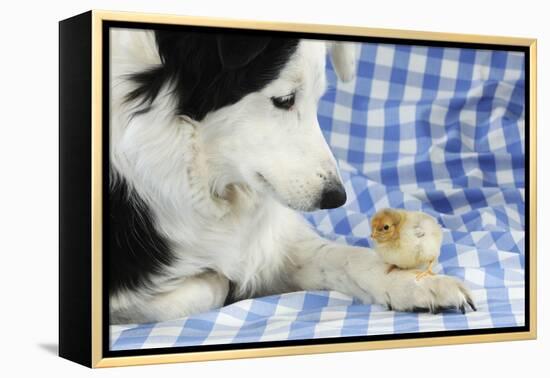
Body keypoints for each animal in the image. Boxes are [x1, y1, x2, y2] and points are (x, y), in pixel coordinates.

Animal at [110, 28, 476, 324]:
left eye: (318, 100)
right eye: (284, 99)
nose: (336, 197)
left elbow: (346, 256)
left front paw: (414, 282)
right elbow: (206, 286)